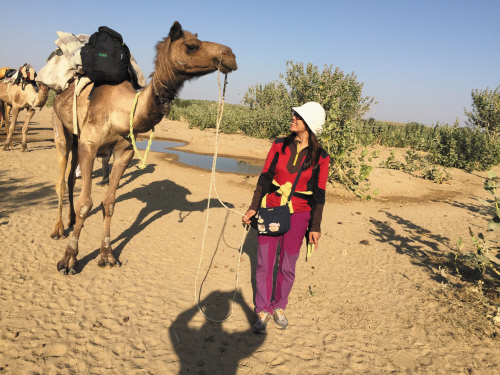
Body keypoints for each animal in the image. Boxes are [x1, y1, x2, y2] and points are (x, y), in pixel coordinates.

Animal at [50, 22, 236, 276]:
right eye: (191, 46)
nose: (231, 56)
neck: (120, 110)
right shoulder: (90, 144)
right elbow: (86, 203)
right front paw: (69, 259)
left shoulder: (124, 152)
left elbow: (109, 204)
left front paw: (107, 255)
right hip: (62, 127)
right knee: (61, 176)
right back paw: (59, 228)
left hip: (77, 136)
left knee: (70, 178)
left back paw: (69, 222)